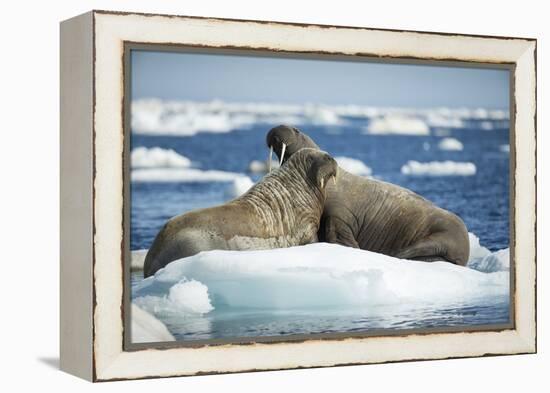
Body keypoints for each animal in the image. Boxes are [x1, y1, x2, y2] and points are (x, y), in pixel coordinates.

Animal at [144, 147, 338, 276]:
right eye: (312, 157)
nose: (331, 157)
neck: (296, 187)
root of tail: (151, 261)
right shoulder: (307, 226)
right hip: (191, 243)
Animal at [268, 125, 470, 266]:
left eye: (296, 130)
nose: (277, 129)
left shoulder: (339, 214)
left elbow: (338, 233)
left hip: (447, 233)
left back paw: (393, 253)